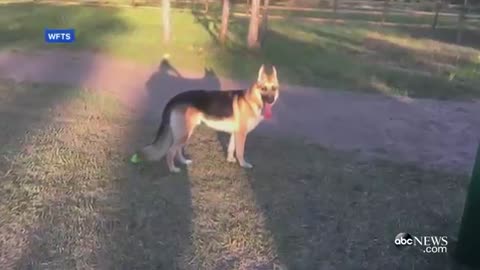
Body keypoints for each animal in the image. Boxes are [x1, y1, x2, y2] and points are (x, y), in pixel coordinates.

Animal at [137, 64, 280, 172]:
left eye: (273, 88)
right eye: (263, 89)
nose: (271, 100)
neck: (252, 100)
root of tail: (174, 99)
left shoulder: (235, 133)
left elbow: (231, 149)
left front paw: (230, 160)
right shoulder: (241, 134)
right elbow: (240, 152)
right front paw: (243, 164)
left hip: (185, 134)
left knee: (178, 151)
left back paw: (184, 162)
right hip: (184, 134)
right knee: (170, 152)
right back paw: (173, 169)